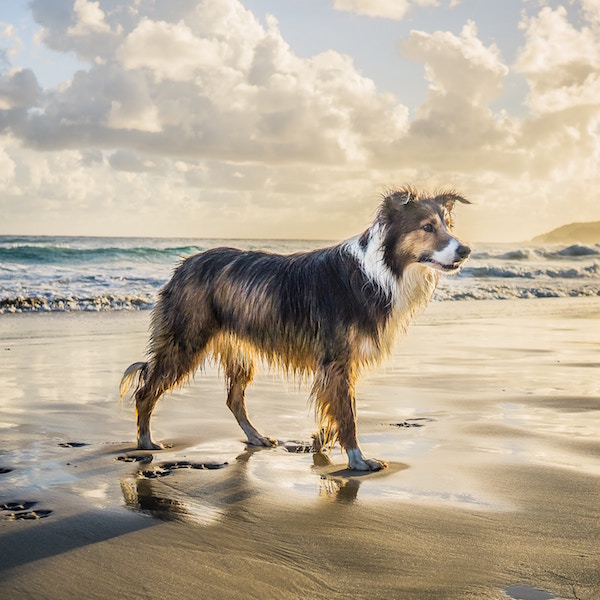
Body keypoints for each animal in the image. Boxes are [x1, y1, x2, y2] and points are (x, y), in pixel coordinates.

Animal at [119, 186, 472, 468]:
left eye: (448, 225)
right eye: (427, 227)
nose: (465, 250)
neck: (380, 271)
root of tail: (184, 265)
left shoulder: (341, 365)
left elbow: (338, 410)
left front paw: (321, 443)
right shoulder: (337, 361)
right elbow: (348, 415)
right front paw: (357, 459)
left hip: (239, 351)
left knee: (234, 400)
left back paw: (256, 438)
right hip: (185, 341)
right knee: (146, 390)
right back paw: (146, 442)